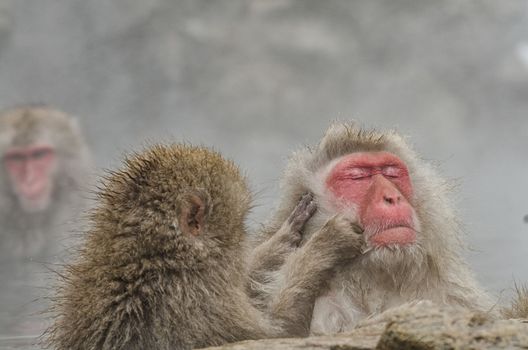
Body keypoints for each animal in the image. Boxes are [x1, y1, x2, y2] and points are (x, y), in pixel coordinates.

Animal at [47, 144, 356, 350]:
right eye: (241, 226)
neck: (154, 255)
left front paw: (287, 234)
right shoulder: (197, 299)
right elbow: (279, 332)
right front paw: (323, 246)